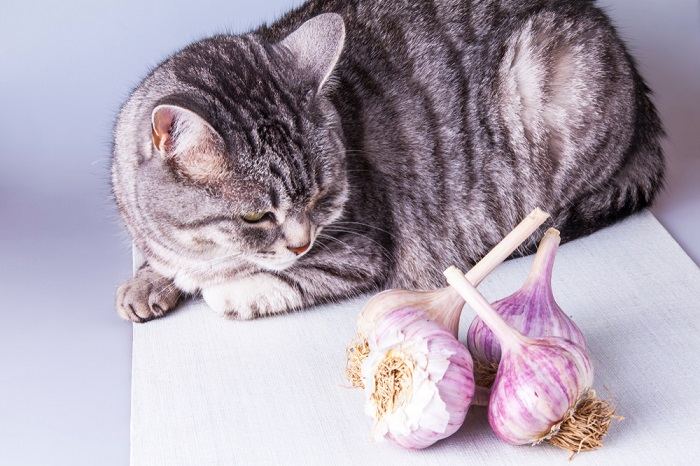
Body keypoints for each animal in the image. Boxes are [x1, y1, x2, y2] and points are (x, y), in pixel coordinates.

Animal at [112, 0, 664, 324]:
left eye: (321, 196)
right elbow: (163, 259)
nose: (302, 239)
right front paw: (149, 281)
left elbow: (279, 277)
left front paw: (229, 288)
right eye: (254, 215)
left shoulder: (359, 251)